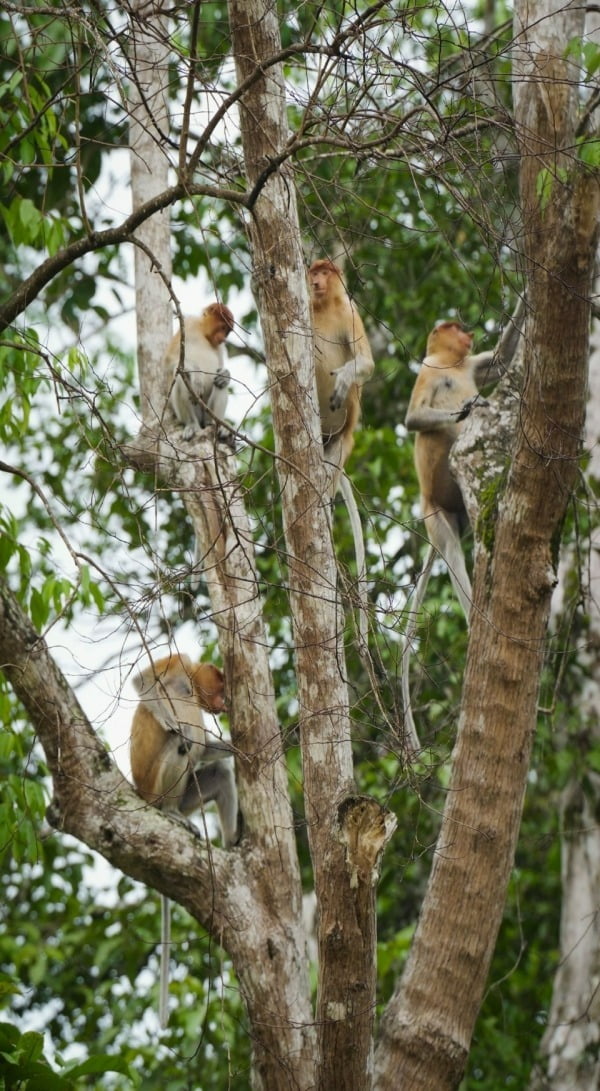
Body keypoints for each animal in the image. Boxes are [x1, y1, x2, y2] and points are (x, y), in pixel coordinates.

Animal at [130, 650, 238, 1025]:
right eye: (220, 689)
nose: (223, 705)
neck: (188, 682)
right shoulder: (175, 662)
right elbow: (144, 682)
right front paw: (173, 724)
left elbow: (209, 752)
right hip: (156, 787)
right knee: (182, 744)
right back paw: (171, 812)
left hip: (191, 793)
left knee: (219, 772)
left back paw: (233, 843)